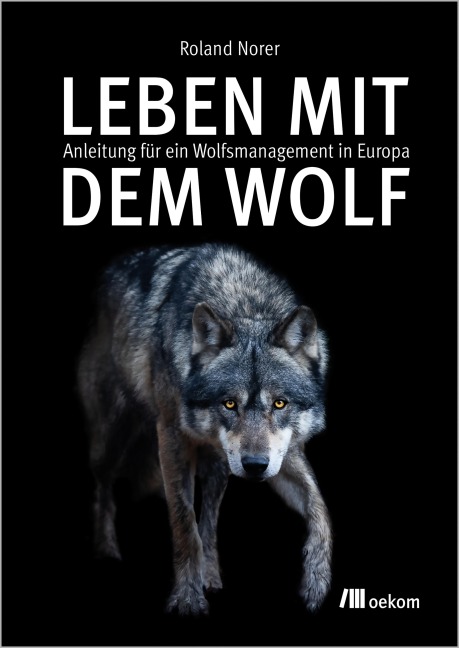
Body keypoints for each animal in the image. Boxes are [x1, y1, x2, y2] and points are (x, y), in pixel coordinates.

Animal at [78, 243, 332, 615]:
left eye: (279, 404)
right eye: (229, 404)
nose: (255, 466)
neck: (243, 302)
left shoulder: (282, 453)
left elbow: (319, 506)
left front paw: (317, 579)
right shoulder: (171, 437)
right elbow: (185, 523)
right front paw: (187, 597)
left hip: (219, 465)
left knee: (210, 520)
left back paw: (210, 575)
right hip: (112, 440)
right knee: (104, 487)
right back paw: (106, 550)